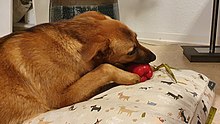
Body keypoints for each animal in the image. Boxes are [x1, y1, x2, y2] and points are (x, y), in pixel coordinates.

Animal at [0, 11, 156, 123]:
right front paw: (130, 76)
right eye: (131, 51)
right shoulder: (62, 98)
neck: (74, 40)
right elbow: (104, 68)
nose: (154, 57)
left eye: (137, 38)